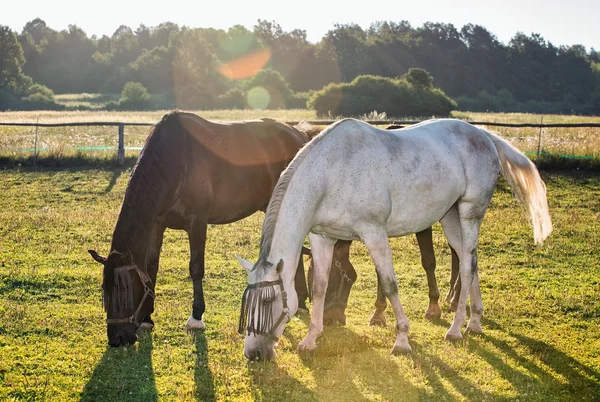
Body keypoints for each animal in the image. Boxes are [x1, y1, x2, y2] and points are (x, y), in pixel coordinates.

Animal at [87, 111, 314, 348]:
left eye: (124, 289)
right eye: (105, 292)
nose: (117, 338)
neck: (175, 162)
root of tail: (299, 134)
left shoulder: (197, 223)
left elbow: (196, 269)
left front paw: (196, 317)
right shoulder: (157, 225)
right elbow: (151, 267)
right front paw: (148, 318)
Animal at [236, 118, 552, 362]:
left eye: (268, 301)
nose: (254, 354)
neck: (333, 171)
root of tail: (483, 134)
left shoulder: (374, 232)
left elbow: (389, 285)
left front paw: (401, 340)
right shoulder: (322, 237)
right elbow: (320, 286)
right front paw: (311, 339)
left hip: (469, 214)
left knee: (465, 267)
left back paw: (455, 328)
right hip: (450, 219)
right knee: (469, 260)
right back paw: (474, 322)